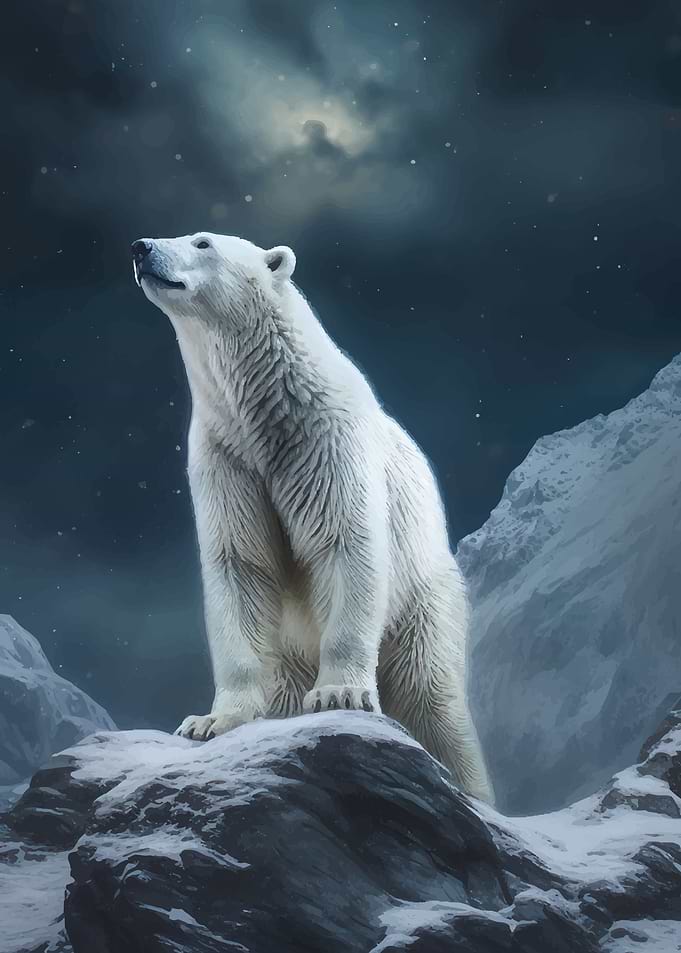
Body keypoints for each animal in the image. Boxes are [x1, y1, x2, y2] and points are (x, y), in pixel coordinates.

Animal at [132, 231, 493, 802]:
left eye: (203, 241)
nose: (141, 246)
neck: (269, 410)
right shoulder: (226, 458)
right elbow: (240, 565)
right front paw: (210, 721)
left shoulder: (326, 442)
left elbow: (345, 543)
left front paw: (339, 694)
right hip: (291, 655)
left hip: (423, 604)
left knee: (435, 703)